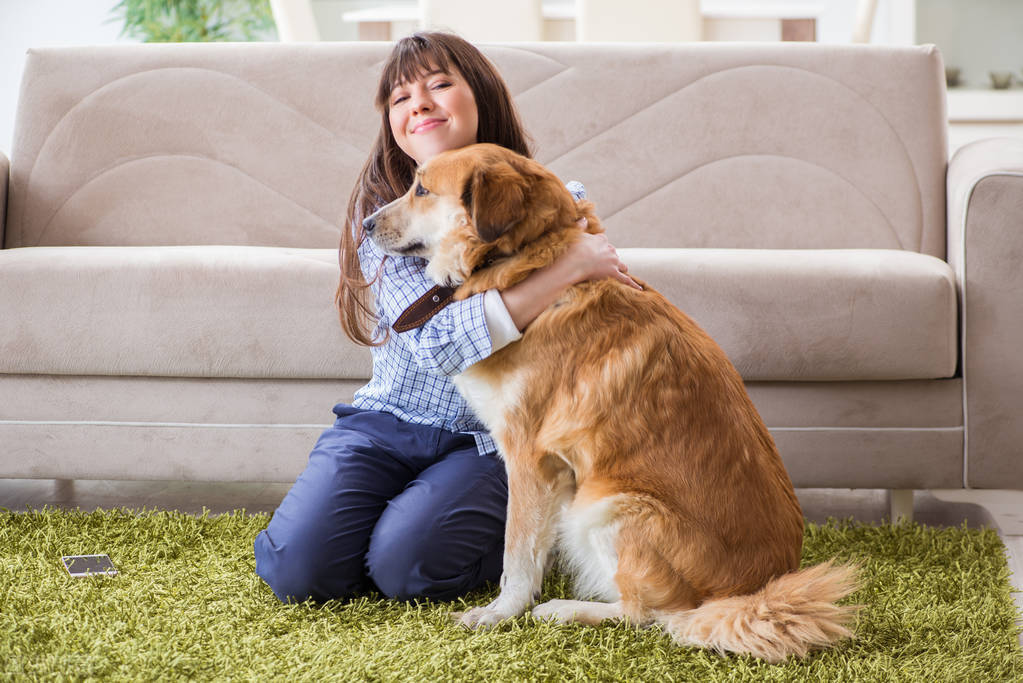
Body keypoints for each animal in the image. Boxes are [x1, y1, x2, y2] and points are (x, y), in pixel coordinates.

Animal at [364, 141, 859, 658]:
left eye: (422, 189)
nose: (365, 225)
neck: (526, 261)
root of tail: (754, 592)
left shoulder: (528, 456)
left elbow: (516, 553)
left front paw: (499, 612)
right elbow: (531, 545)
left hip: (608, 506)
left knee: (654, 616)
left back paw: (565, 610)